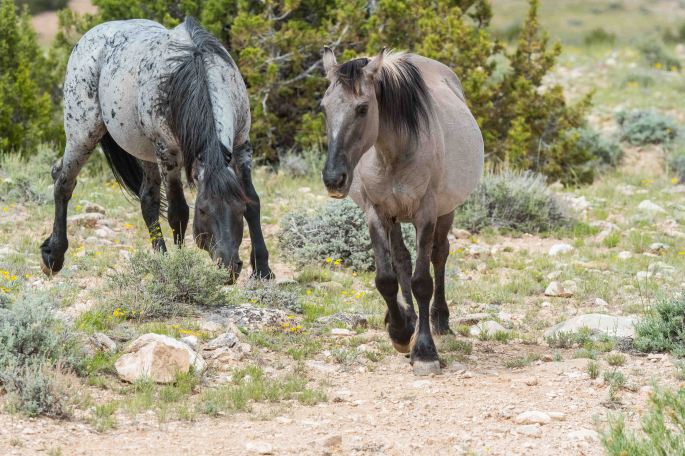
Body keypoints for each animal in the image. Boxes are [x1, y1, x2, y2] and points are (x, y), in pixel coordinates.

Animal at [40, 17, 272, 283]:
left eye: (238, 209)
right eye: (203, 210)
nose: (229, 267)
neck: (195, 71)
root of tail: (90, 37)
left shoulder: (241, 146)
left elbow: (254, 201)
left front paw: (263, 269)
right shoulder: (168, 153)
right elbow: (178, 211)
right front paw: (181, 265)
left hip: (145, 152)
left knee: (147, 200)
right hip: (83, 135)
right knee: (63, 183)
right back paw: (53, 256)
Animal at [320, 48, 484, 375]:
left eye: (362, 108)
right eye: (324, 107)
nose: (334, 179)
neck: (393, 153)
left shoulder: (426, 214)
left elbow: (423, 281)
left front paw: (425, 351)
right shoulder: (377, 213)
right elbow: (387, 277)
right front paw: (400, 331)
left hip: (446, 212)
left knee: (439, 255)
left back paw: (439, 319)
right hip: (394, 219)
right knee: (402, 261)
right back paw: (408, 318)